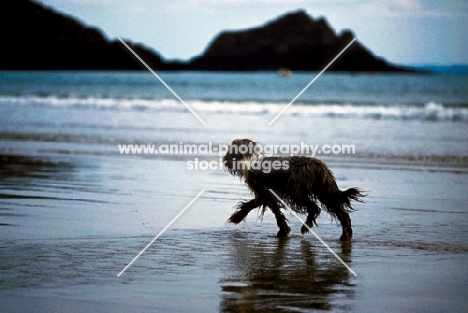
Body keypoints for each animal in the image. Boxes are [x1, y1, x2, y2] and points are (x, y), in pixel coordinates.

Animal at [223, 138, 366, 240]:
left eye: (230, 151)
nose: (224, 160)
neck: (250, 160)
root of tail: (318, 166)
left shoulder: (266, 193)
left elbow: (277, 213)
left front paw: (283, 231)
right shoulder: (263, 194)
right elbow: (251, 204)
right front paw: (237, 217)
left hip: (298, 192)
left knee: (314, 207)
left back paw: (306, 227)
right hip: (324, 191)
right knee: (342, 213)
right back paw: (346, 236)